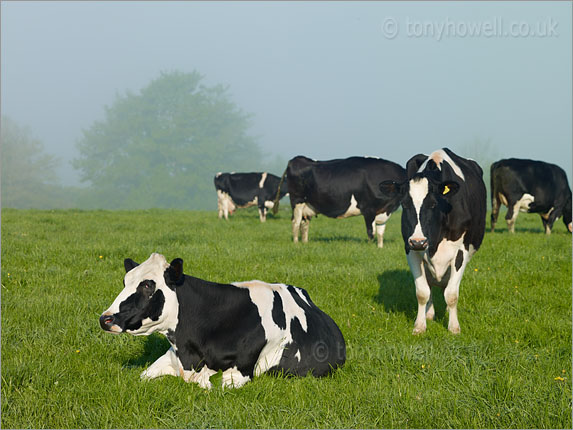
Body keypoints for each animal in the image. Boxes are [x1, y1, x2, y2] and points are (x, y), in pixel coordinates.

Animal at [98, 252, 344, 390]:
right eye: (125, 281)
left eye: (148, 285)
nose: (105, 318)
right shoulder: (171, 360)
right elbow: (142, 377)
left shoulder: (238, 375)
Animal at [276, 156, 406, 247]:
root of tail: (296, 159)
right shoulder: (368, 209)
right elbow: (371, 232)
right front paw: (370, 247)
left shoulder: (383, 210)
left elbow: (380, 233)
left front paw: (379, 248)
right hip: (297, 200)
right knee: (296, 222)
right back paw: (296, 243)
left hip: (307, 205)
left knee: (304, 223)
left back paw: (305, 243)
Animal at [378, 149, 484, 334]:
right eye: (405, 204)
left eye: (433, 204)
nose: (418, 242)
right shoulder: (410, 250)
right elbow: (422, 292)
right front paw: (419, 326)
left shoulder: (461, 251)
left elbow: (451, 294)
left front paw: (454, 327)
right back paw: (429, 313)